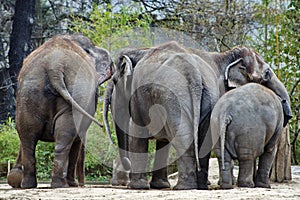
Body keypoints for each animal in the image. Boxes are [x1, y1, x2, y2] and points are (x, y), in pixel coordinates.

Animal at [7, 33, 115, 188]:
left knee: (28, 135)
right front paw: (75, 184)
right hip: (74, 93)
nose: (83, 184)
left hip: (28, 95)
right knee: (65, 136)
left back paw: (29, 184)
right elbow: (78, 138)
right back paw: (62, 184)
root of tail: (54, 68)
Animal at [103, 41, 290, 190]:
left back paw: (185, 187)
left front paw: (140, 187)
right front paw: (158, 186)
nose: (287, 112)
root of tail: (191, 73)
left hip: (173, 95)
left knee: (184, 137)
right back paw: (195, 186)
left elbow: (139, 132)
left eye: (114, 81)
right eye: (267, 75)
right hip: (185, 96)